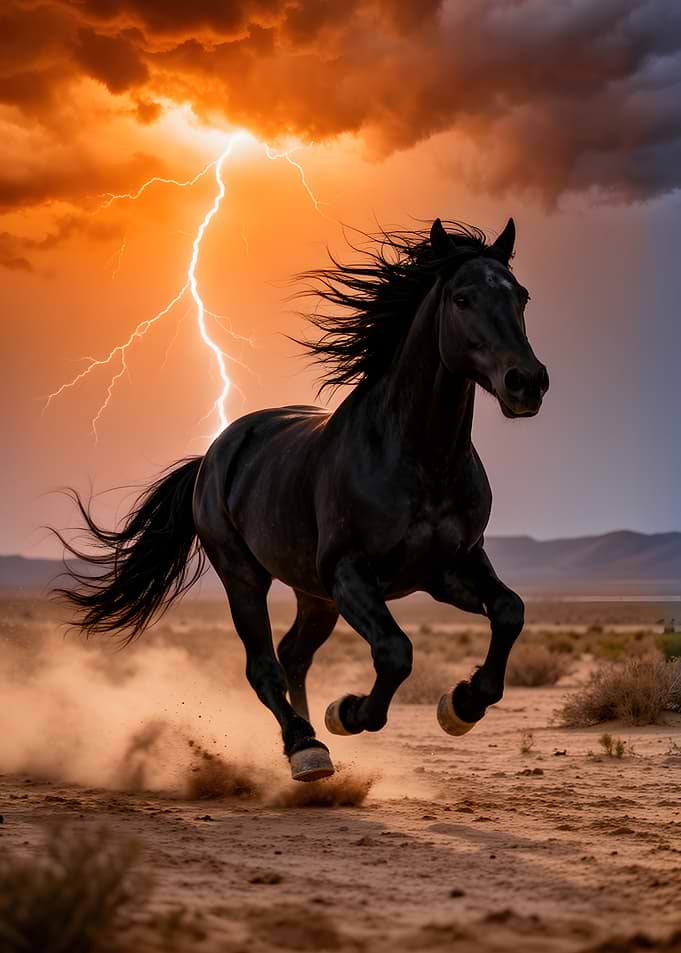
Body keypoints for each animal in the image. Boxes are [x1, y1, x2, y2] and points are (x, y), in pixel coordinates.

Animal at [55, 217, 549, 783]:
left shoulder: (450, 567)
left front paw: (462, 704)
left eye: (521, 296)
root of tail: (213, 454)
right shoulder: (351, 573)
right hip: (246, 578)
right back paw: (306, 747)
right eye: (462, 298)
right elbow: (395, 651)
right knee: (264, 666)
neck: (419, 458)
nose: (526, 383)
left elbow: (509, 611)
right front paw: (349, 712)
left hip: (315, 595)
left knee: (293, 655)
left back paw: (315, 744)